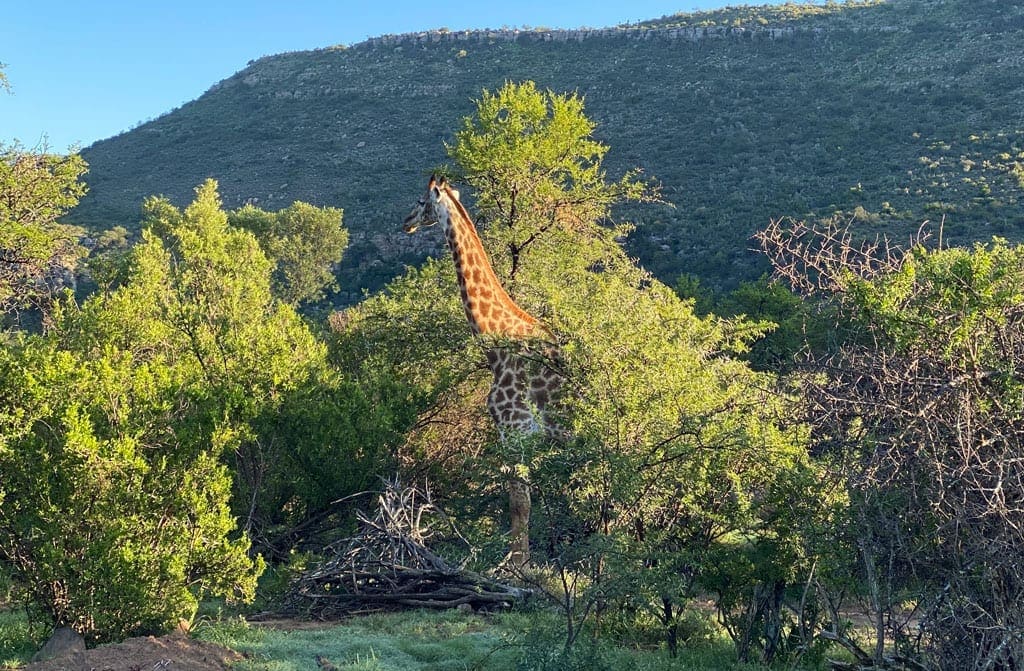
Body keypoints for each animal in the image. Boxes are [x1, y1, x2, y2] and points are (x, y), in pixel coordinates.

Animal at [403, 174, 565, 565]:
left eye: (421, 201)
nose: (406, 222)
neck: (496, 341)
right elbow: (521, 501)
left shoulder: (516, 428)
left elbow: (519, 503)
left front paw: (518, 566)